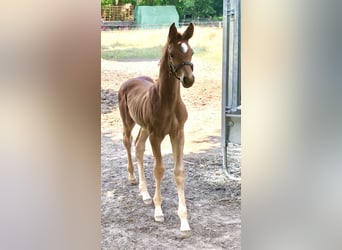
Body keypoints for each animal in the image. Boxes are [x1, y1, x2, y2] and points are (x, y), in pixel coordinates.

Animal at [118, 22, 195, 235]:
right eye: (172, 54)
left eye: (191, 52)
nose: (189, 80)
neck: (167, 102)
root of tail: (129, 81)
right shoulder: (156, 136)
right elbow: (159, 169)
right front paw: (158, 211)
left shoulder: (178, 134)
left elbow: (179, 172)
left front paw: (184, 222)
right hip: (129, 121)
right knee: (128, 142)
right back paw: (133, 179)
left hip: (144, 127)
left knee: (138, 147)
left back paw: (145, 194)